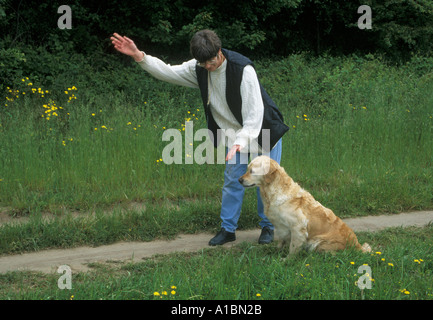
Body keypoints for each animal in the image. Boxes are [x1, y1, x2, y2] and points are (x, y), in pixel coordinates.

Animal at [238, 156, 370, 258]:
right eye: (247, 169)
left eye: (252, 171)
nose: (239, 180)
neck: (273, 191)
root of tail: (357, 245)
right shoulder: (281, 227)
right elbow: (281, 241)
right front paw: (276, 251)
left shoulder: (298, 227)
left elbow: (293, 247)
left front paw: (286, 260)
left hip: (317, 242)